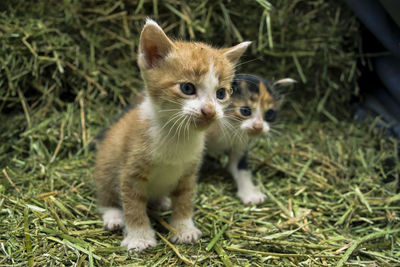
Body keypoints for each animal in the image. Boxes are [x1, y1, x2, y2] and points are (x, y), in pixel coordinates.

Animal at [94, 18, 250, 253]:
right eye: (187, 88)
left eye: (221, 93)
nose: (210, 111)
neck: (177, 135)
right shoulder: (131, 172)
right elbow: (133, 205)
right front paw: (139, 237)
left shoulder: (189, 171)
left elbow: (185, 199)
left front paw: (184, 228)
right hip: (106, 165)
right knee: (106, 196)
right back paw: (113, 215)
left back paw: (162, 201)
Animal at [206, 74, 294, 206]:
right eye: (245, 111)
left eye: (270, 114)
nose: (258, 126)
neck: (229, 126)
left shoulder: (241, 146)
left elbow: (241, 169)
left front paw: (250, 193)